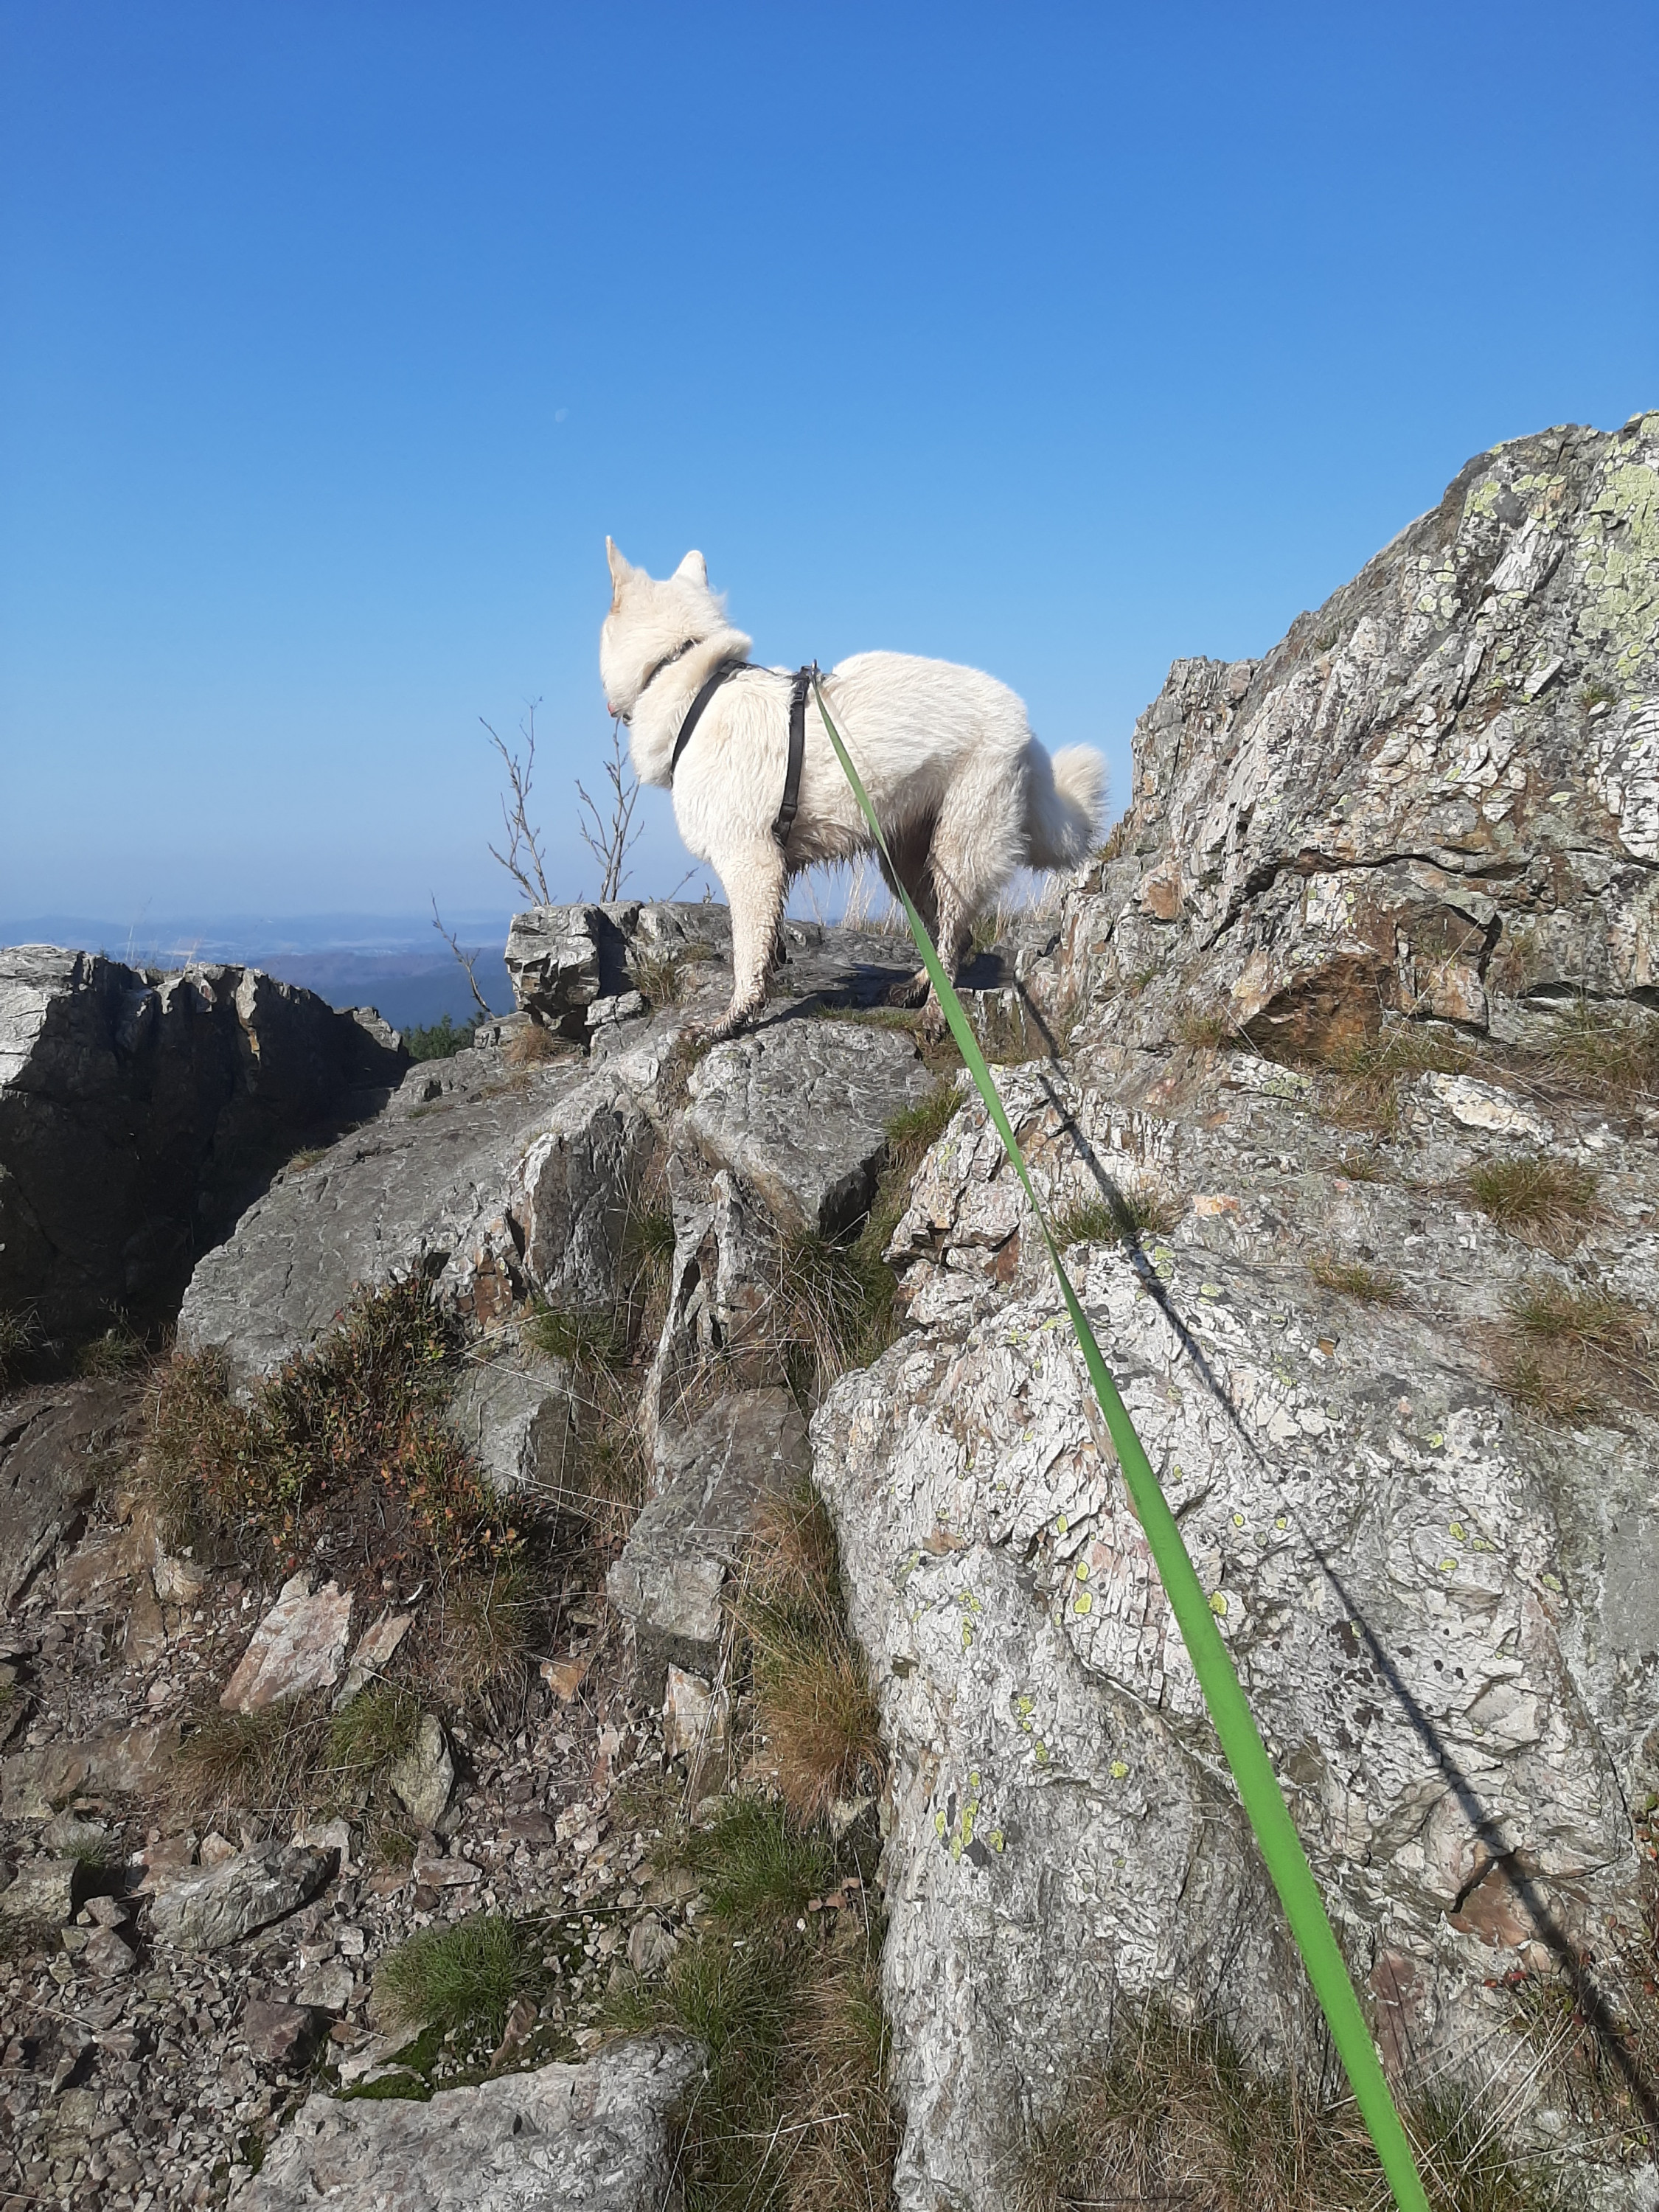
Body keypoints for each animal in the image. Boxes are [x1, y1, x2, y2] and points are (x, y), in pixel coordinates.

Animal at [599, 539, 1105, 1040]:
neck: (690, 682)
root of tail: (1027, 728)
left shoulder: (750, 865)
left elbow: (745, 957)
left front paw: (731, 1020)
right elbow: (767, 946)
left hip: (957, 853)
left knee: (954, 934)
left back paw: (935, 1014)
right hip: (907, 862)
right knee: (949, 932)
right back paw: (918, 988)